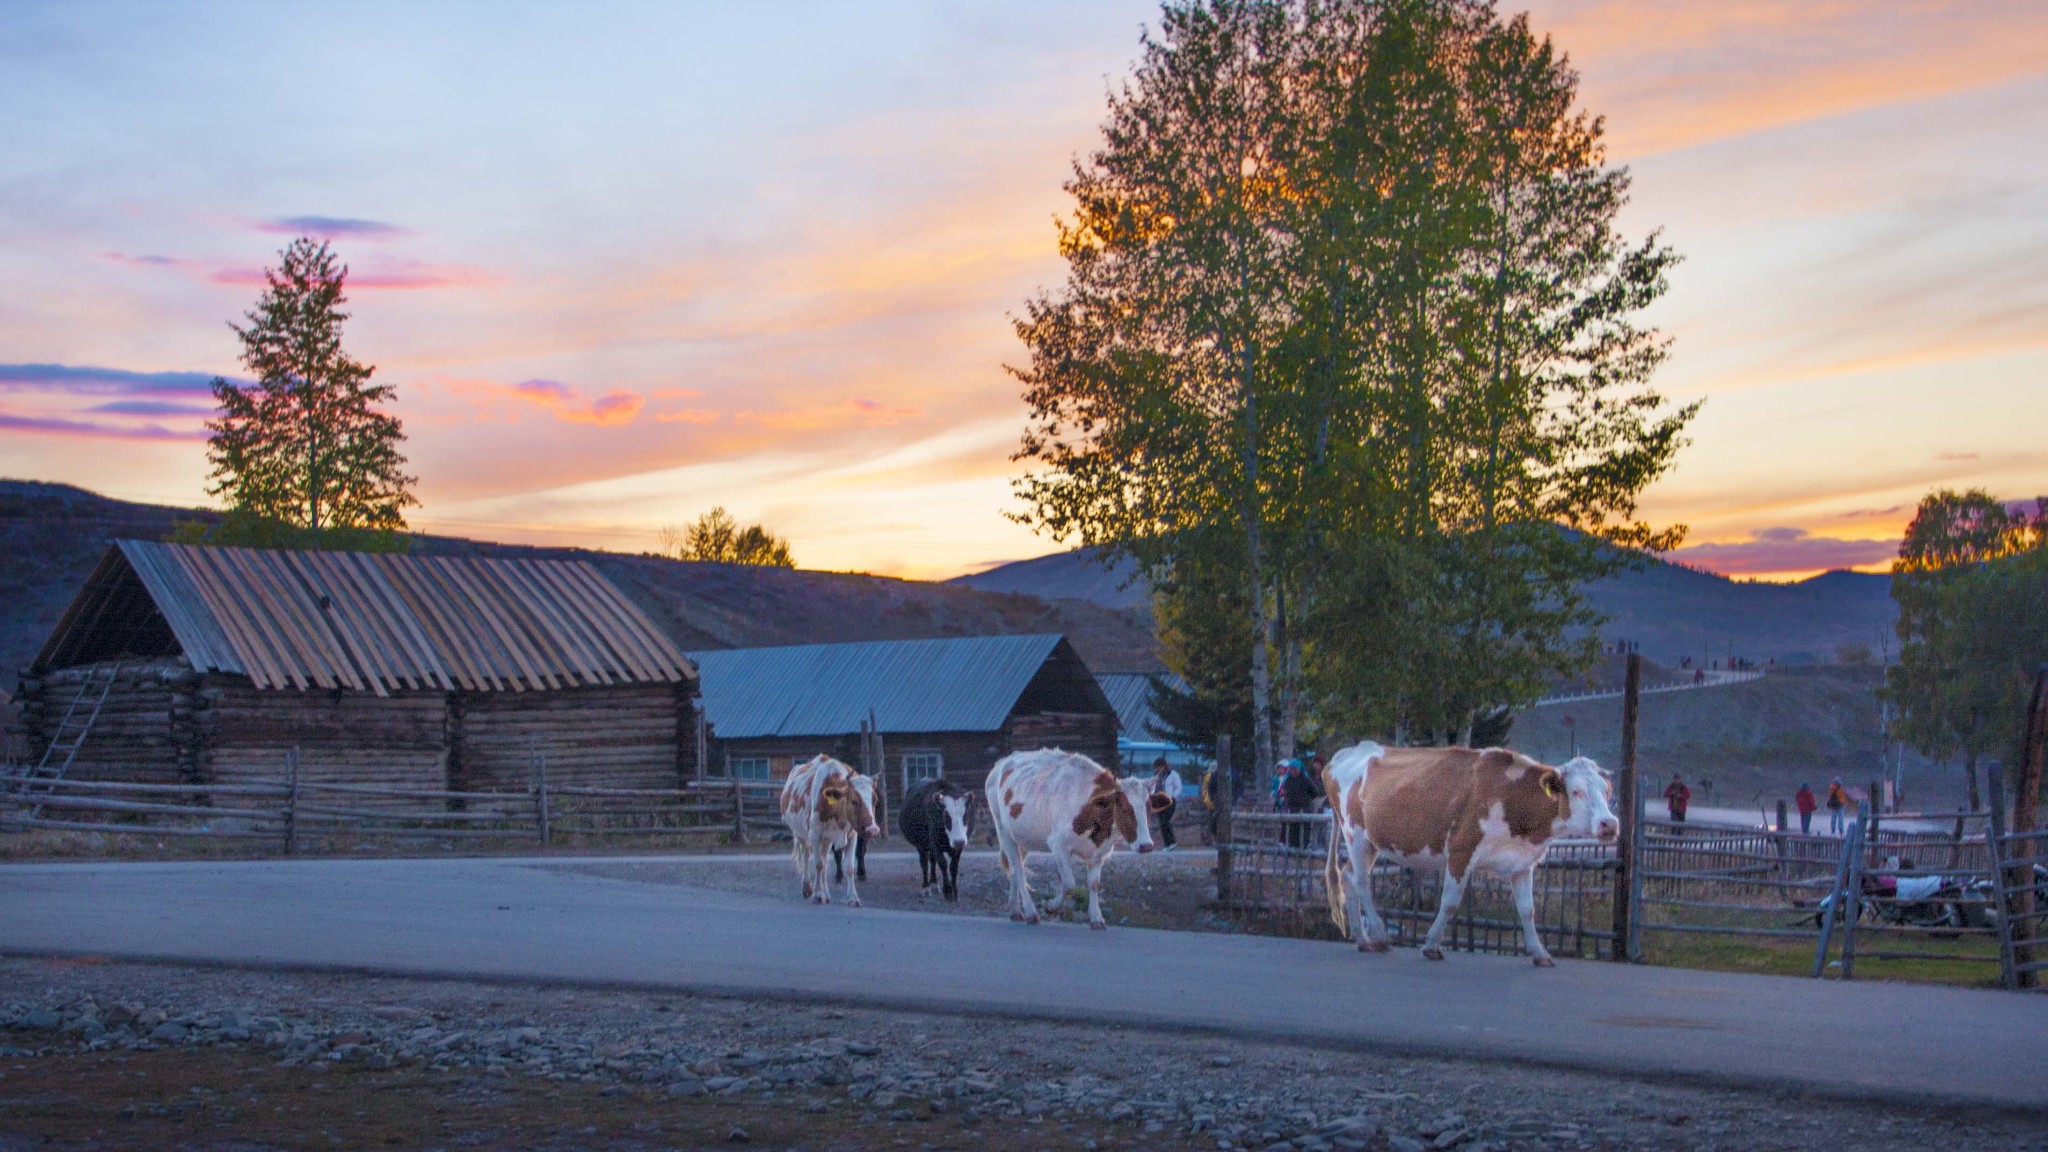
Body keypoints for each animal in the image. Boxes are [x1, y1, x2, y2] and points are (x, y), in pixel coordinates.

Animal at [774, 754, 880, 906]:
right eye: (854, 801)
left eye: (875, 801)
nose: (873, 830)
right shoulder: (814, 835)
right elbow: (818, 864)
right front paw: (818, 895)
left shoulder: (852, 835)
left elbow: (848, 867)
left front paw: (853, 898)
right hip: (800, 834)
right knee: (807, 856)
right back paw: (808, 888)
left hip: (827, 840)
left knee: (825, 861)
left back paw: (827, 894)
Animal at [987, 746, 1171, 922]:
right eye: (1124, 808)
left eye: (1149, 808)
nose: (1146, 846)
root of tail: (1001, 764)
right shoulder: (1059, 846)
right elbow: (1069, 884)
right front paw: (1051, 906)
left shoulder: (1100, 853)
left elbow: (1094, 884)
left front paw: (1096, 918)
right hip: (1004, 831)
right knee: (1018, 870)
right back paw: (1031, 912)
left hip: (1023, 838)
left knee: (1014, 869)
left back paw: (1015, 910)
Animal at [1327, 733, 1613, 959]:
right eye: (1576, 792)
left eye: (1606, 790)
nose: (1610, 824)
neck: (1510, 796)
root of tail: (1347, 752)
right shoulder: (1461, 852)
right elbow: (1450, 902)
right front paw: (1431, 946)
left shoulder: (1523, 862)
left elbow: (1527, 910)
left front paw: (1539, 953)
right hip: (1355, 834)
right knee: (1362, 881)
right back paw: (1379, 933)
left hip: (1370, 842)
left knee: (1349, 876)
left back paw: (1363, 939)